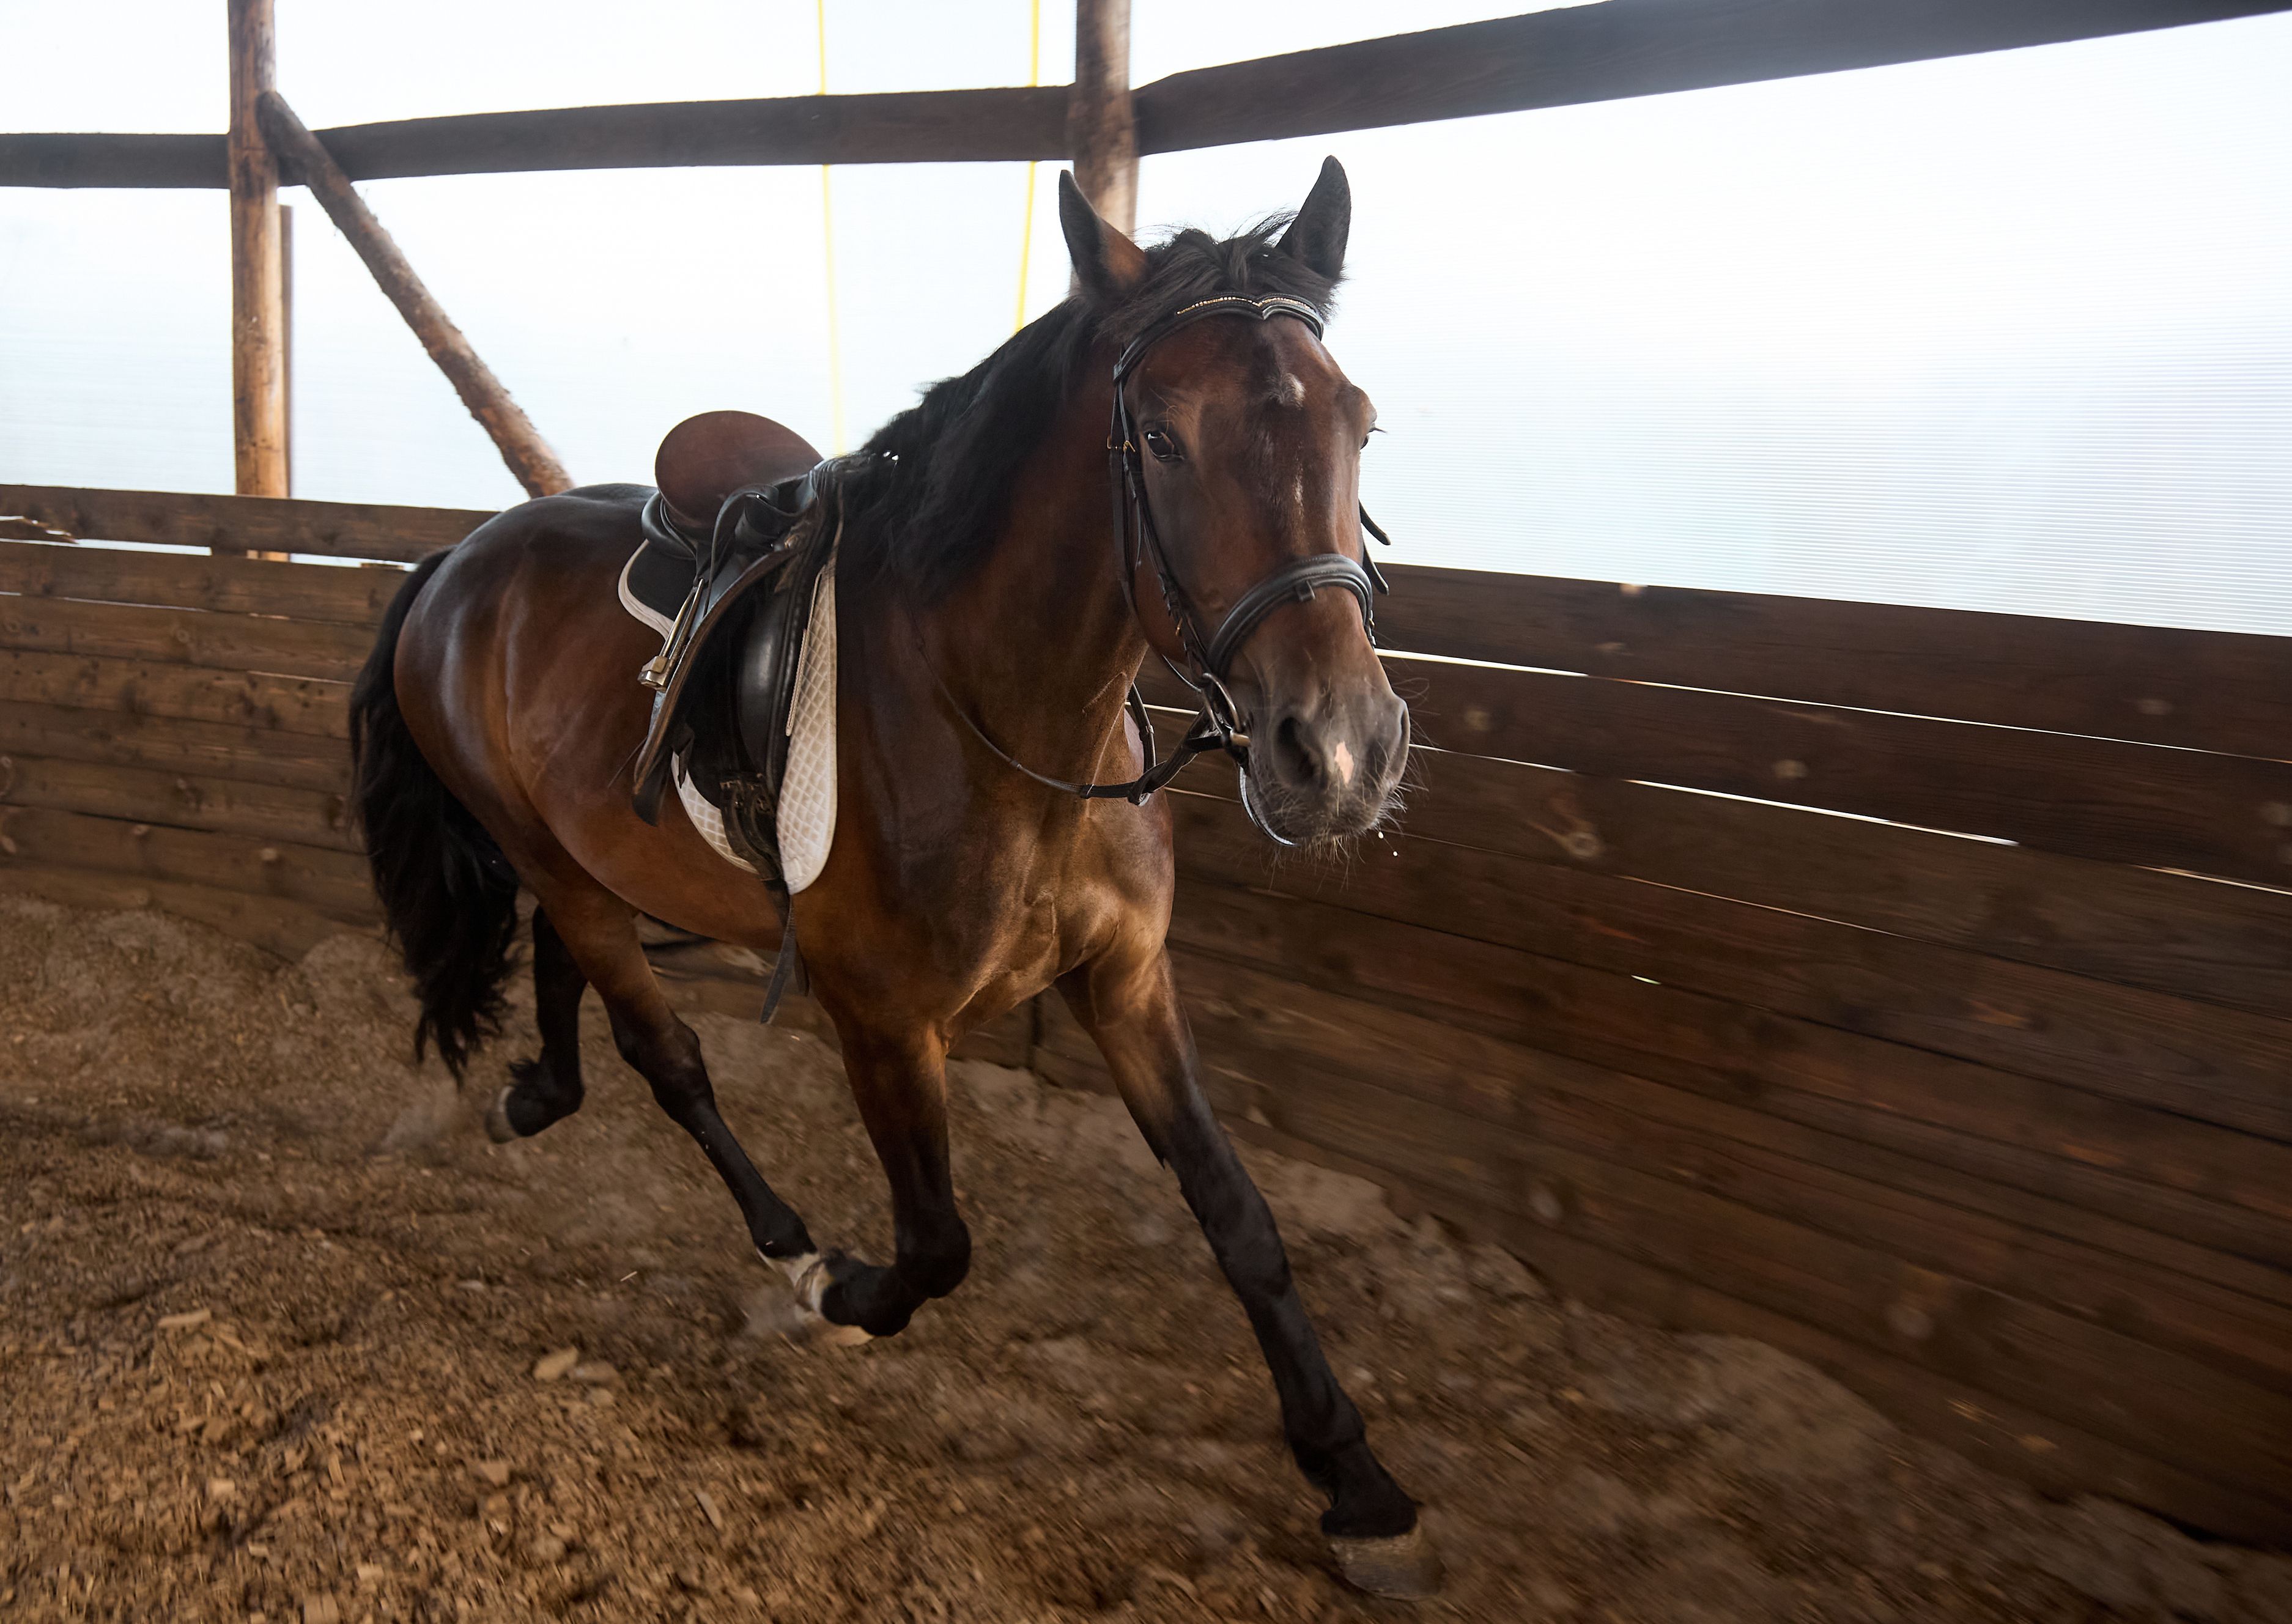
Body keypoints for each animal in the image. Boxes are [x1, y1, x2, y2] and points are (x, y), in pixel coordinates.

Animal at [347, 159, 1433, 1596]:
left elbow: (1238, 1214)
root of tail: (457, 563)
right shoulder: (880, 1021)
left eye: (1356, 421)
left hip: (572, 849)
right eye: (1159, 439)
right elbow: (936, 1240)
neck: (1004, 724)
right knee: (663, 1051)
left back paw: (539, 1096)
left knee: (566, 967)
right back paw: (780, 1234)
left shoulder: (1126, 982)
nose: (1341, 752)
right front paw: (845, 1292)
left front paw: (1352, 1475)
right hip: (544, 852)